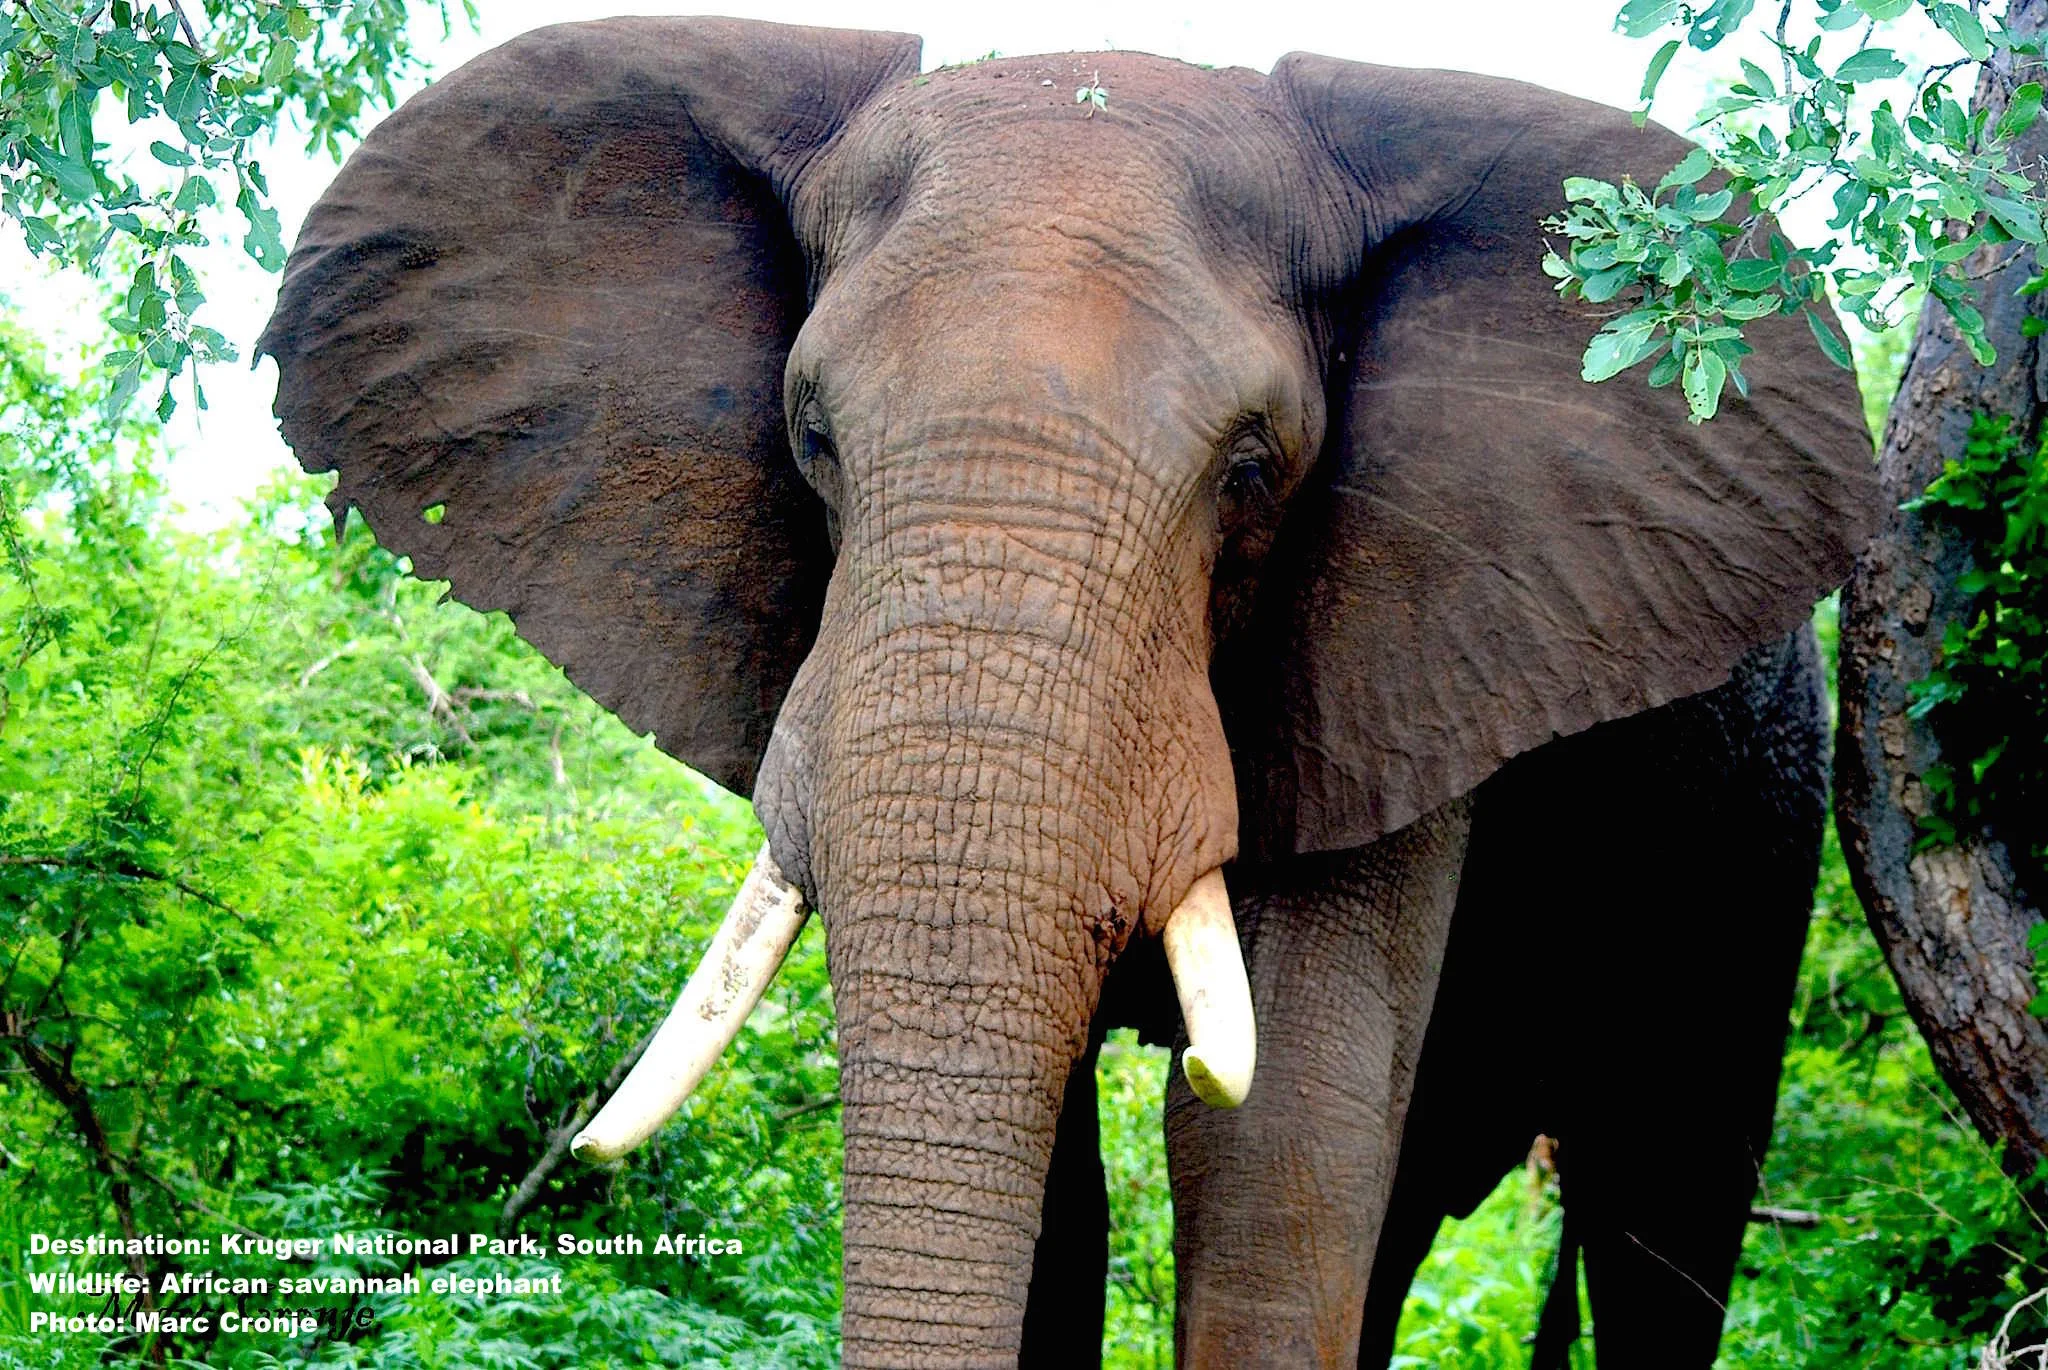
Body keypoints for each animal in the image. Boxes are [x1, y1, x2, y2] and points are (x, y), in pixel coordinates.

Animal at [258, 17, 1876, 1368]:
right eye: (809, 432)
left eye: (1254, 467)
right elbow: (1058, 1195)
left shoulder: (1408, 648)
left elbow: (1276, 1146)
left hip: (1757, 814)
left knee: (1658, 1201)